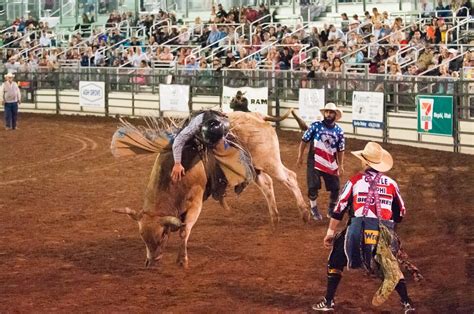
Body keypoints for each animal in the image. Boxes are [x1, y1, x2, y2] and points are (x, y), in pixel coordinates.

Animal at [111, 110, 312, 268]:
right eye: (142, 237)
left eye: (162, 236)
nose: (151, 262)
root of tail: (257, 116)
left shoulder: (196, 202)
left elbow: (184, 230)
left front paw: (182, 260)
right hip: (253, 168)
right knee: (267, 184)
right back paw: (274, 219)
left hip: (270, 160)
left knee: (290, 178)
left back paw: (304, 213)